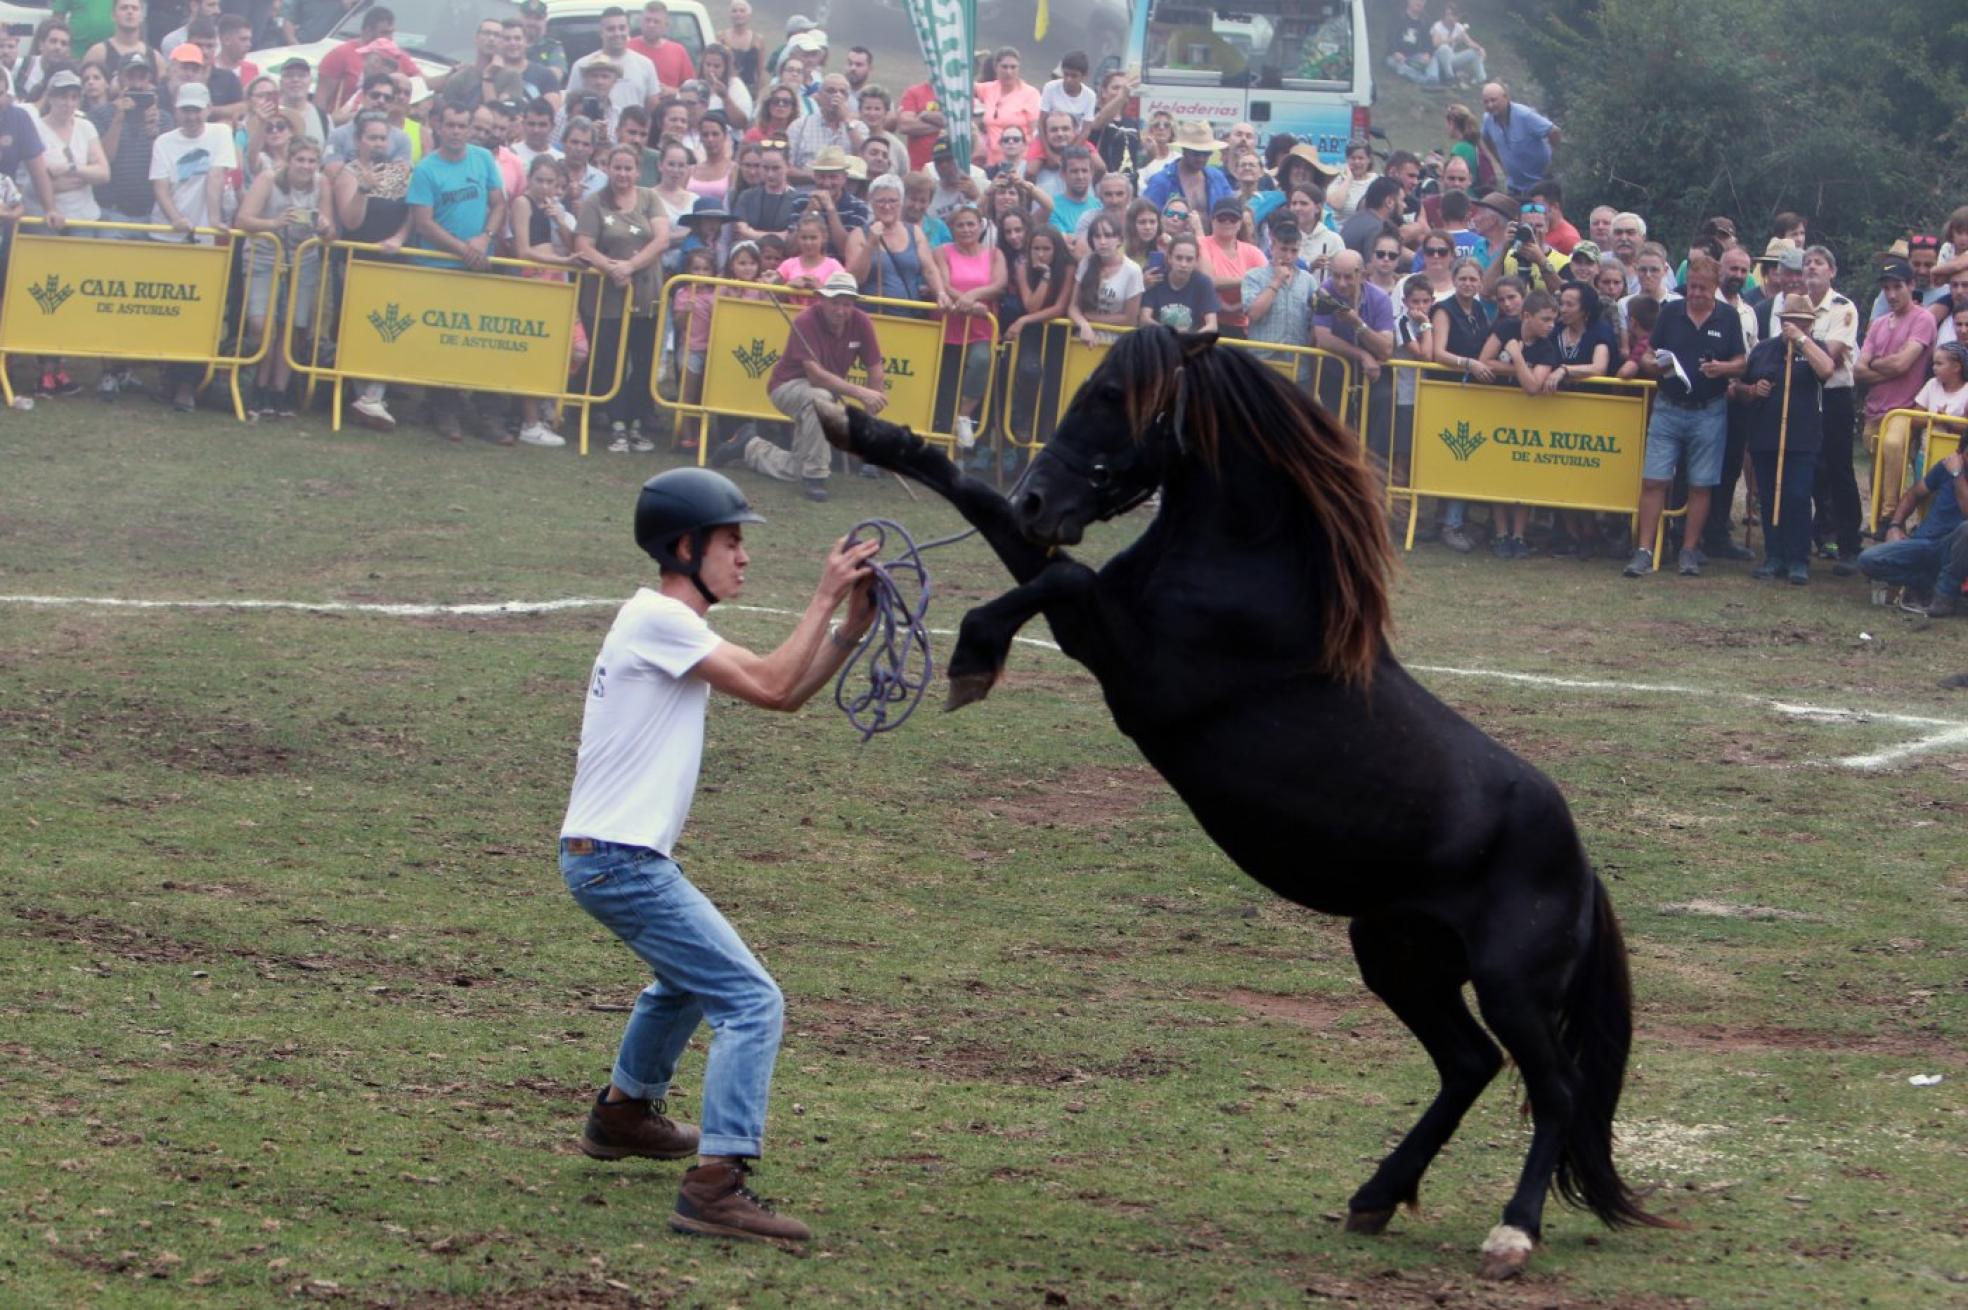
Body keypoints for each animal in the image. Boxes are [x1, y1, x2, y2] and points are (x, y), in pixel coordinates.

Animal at [810, 326, 1660, 1274]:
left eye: (1114, 395)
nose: (1039, 498)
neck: (1248, 575)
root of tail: (1582, 864)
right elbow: (984, 506)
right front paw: (855, 425)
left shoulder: (1126, 657)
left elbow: (1059, 580)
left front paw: (973, 657)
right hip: (1397, 954)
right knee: (1469, 1063)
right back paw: (1375, 1196)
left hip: (1509, 984)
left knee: (1554, 1087)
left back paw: (1513, 1230)